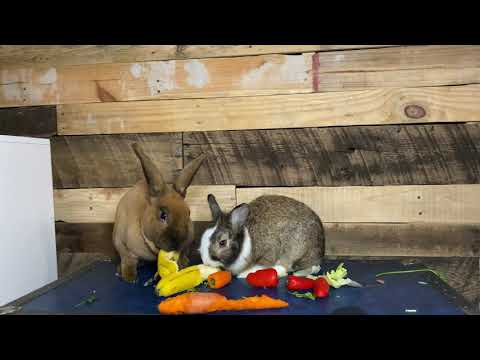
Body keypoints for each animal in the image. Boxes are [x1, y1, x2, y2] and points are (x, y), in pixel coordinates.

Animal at [115, 142, 207, 282]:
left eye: (188, 213)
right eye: (163, 215)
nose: (177, 243)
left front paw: (181, 264)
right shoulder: (122, 245)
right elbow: (128, 260)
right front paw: (129, 277)